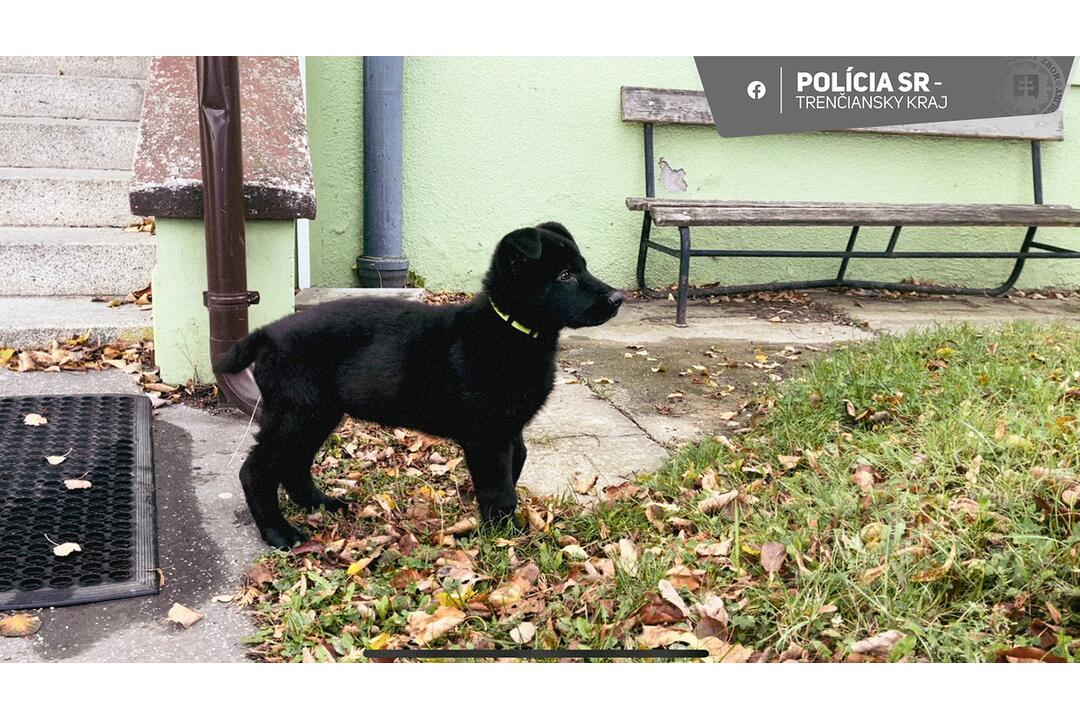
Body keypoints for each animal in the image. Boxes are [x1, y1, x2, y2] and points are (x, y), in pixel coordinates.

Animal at [214, 222, 626, 548]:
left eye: (583, 267)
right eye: (565, 276)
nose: (619, 298)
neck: (512, 329)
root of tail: (267, 333)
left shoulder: (508, 429)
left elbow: (516, 465)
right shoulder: (487, 435)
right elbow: (500, 489)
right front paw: (502, 538)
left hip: (316, 415)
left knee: (294, 465)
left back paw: (322, 504)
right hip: (297, 414)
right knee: (257, 471)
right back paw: (279, 533)